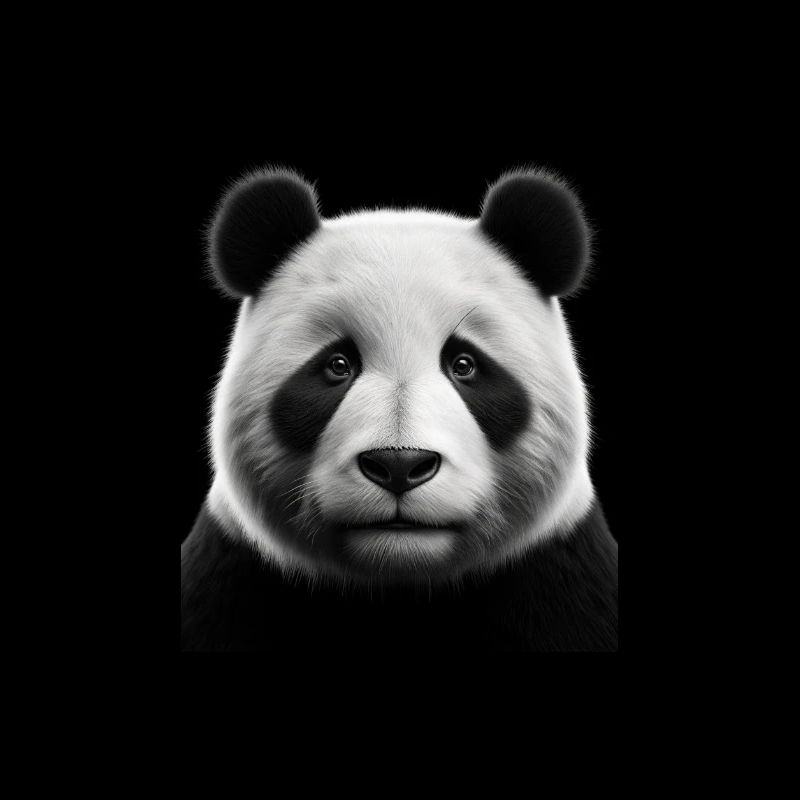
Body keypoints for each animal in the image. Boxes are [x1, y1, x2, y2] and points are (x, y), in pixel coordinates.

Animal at [180, 166, 618, 652]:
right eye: (338, 365)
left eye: (464, 364)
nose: (399, 465)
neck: (401, 583)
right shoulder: (231, 574)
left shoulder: (563, 571)